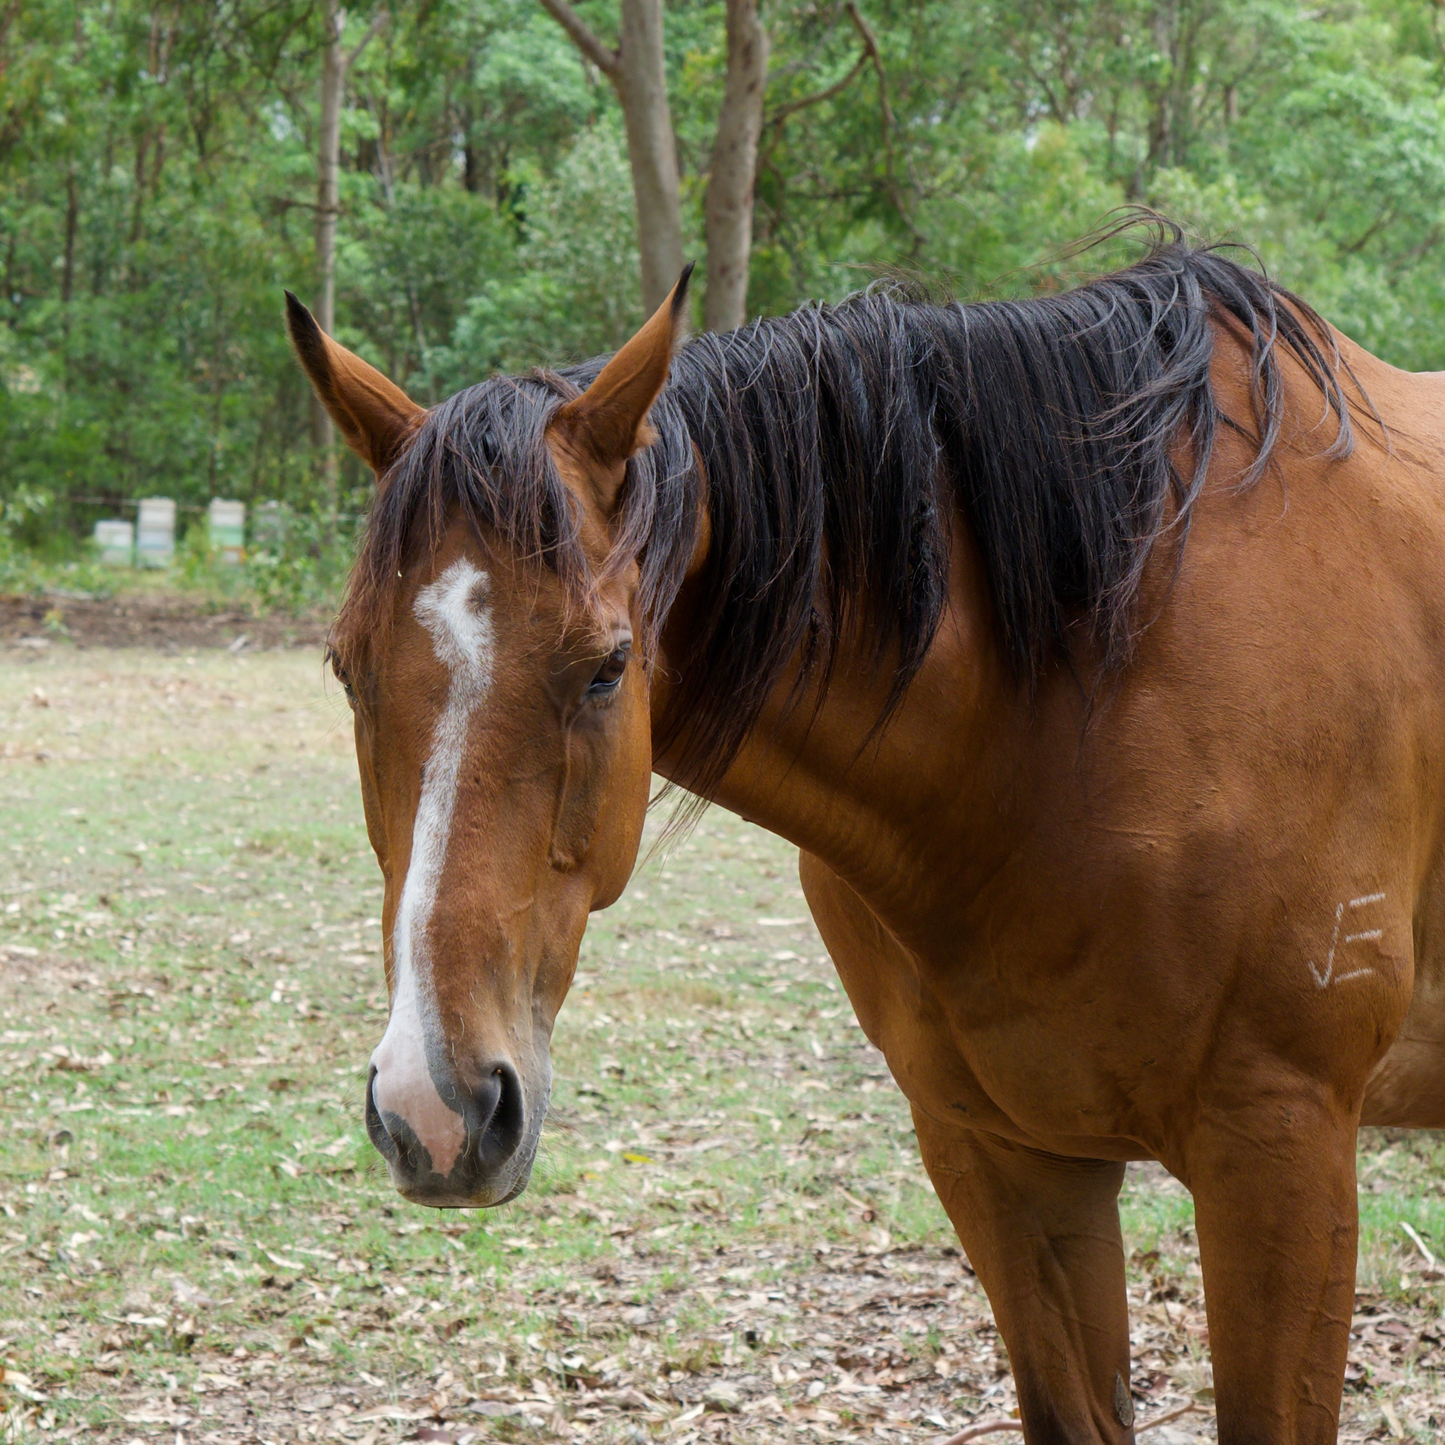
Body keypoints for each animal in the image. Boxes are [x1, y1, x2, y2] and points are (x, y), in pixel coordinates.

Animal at [285, 225, 1445, 1445]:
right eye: (348, 668)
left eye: (607, 665)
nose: (435, 1106)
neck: (1092, 690)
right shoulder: (1004, 1161)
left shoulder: (1279, 1156)